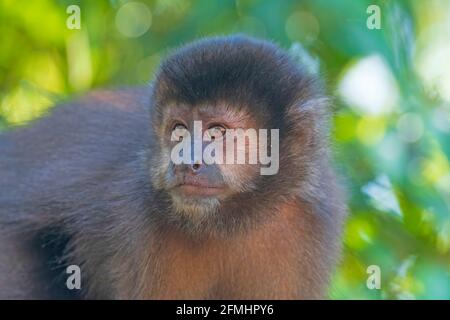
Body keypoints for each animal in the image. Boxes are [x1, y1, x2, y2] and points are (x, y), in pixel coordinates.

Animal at [0, 35, 348, 300]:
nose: (183, 162)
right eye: (178, 131)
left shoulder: (310, 219)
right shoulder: (140, 225)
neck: (233, 221)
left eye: (216, 132)